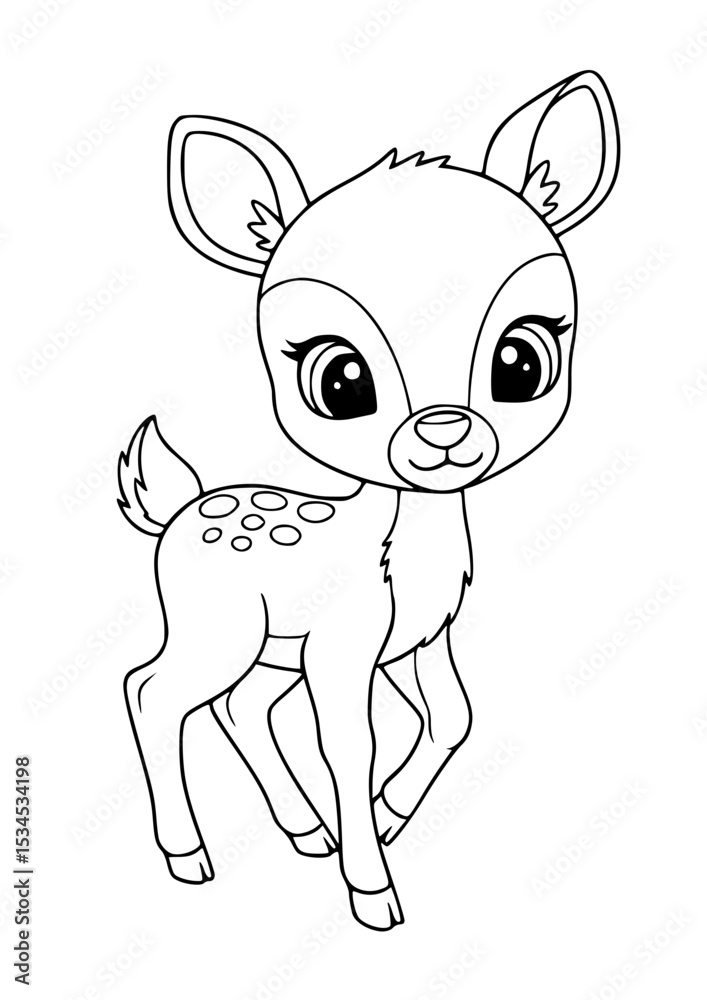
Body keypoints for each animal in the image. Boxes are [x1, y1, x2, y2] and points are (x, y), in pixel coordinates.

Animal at [118, 71, 619, 930]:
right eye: (340, 380)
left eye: (521, 362)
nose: (444, 432)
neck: (407, 556)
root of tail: (176, 511)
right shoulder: (344, 645)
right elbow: (351, 745)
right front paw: (373, 892)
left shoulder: (412, 640)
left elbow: (451, 716)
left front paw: (386, 815)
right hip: (216, 627)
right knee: (152, 692)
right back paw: (189, 857)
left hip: (268, 645)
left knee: (238, 706)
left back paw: (303, 831)